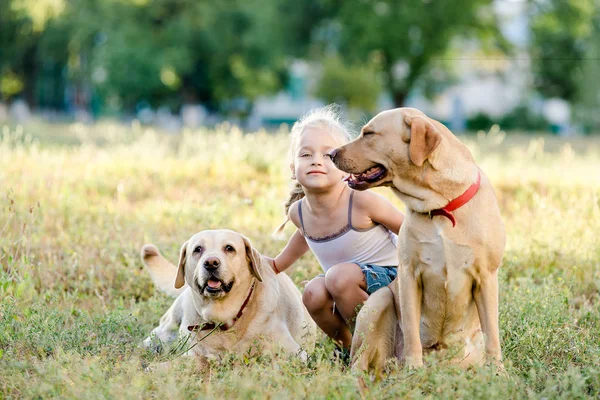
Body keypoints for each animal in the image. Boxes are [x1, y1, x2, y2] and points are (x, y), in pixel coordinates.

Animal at [141, 230, 316, 360]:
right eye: (198, 249)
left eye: (229, 248)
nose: (211, 263)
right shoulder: (194, 355)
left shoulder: (297, 354)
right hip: (167, 328)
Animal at [332, 108, 506, 374]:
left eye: (369, 134)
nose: (331, 154)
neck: (441, 204)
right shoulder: (410, 274)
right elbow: (412, 332)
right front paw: (414, 369)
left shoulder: (486, 277)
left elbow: (492, 335)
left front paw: (499, 373)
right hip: (378, 301)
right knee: (360, 363)